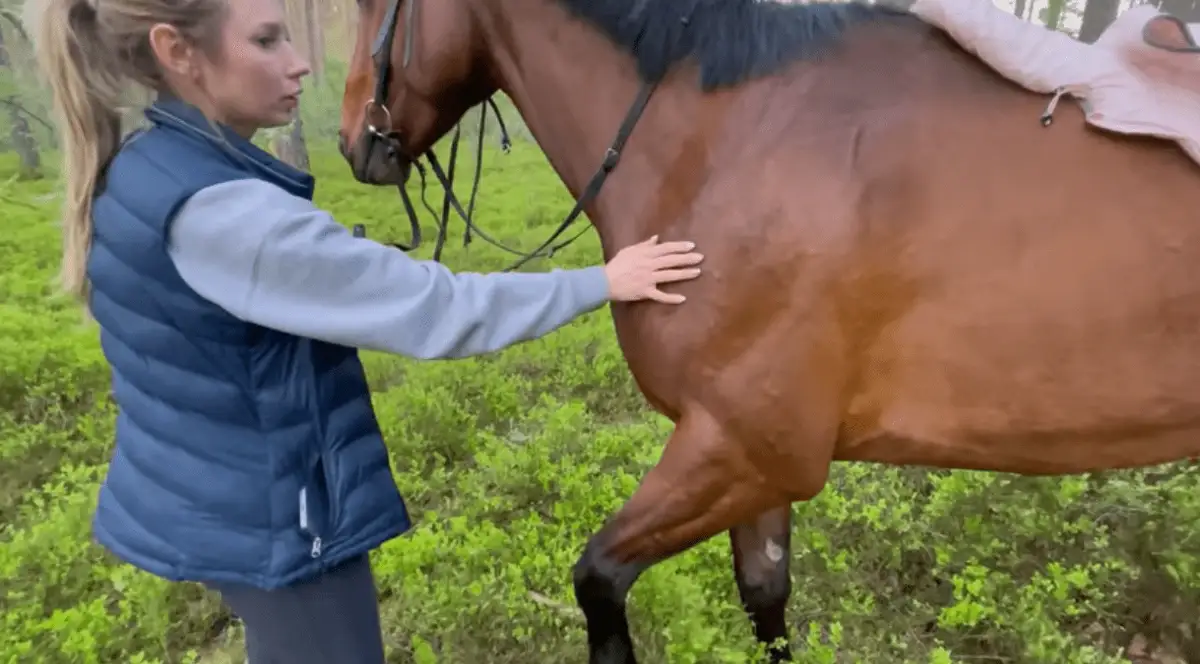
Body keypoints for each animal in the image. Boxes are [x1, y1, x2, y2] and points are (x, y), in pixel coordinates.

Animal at [335, 0, 1200, 660]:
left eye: (374, 3)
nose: (353, 140)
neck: (726, 139)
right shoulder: (750, 462)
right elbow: (766, 594)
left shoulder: (743, 446)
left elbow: (599, 579)